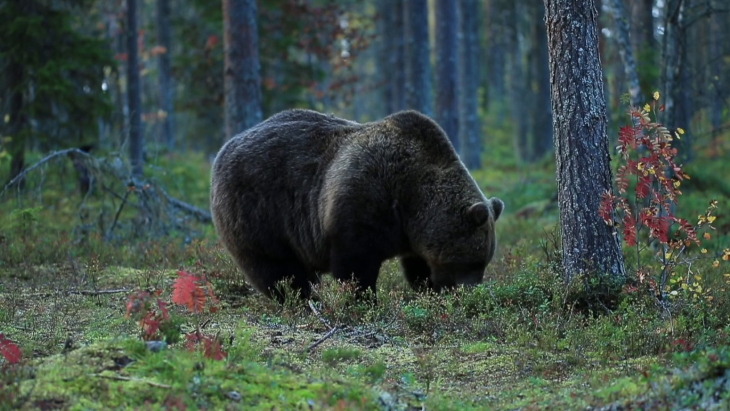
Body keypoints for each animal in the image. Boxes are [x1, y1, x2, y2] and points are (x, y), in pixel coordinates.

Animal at [210, 108, 504, 302]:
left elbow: (417, 264)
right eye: (473, 261)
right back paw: (303, 298)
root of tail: (226, 147)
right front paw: (363, 298)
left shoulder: (414, 231)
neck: (411, 198)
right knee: (276, 267)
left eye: (485, 260)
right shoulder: (363, 200)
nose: (472, 291)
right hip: (258, 209)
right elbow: (355, 262)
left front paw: (428, 287)